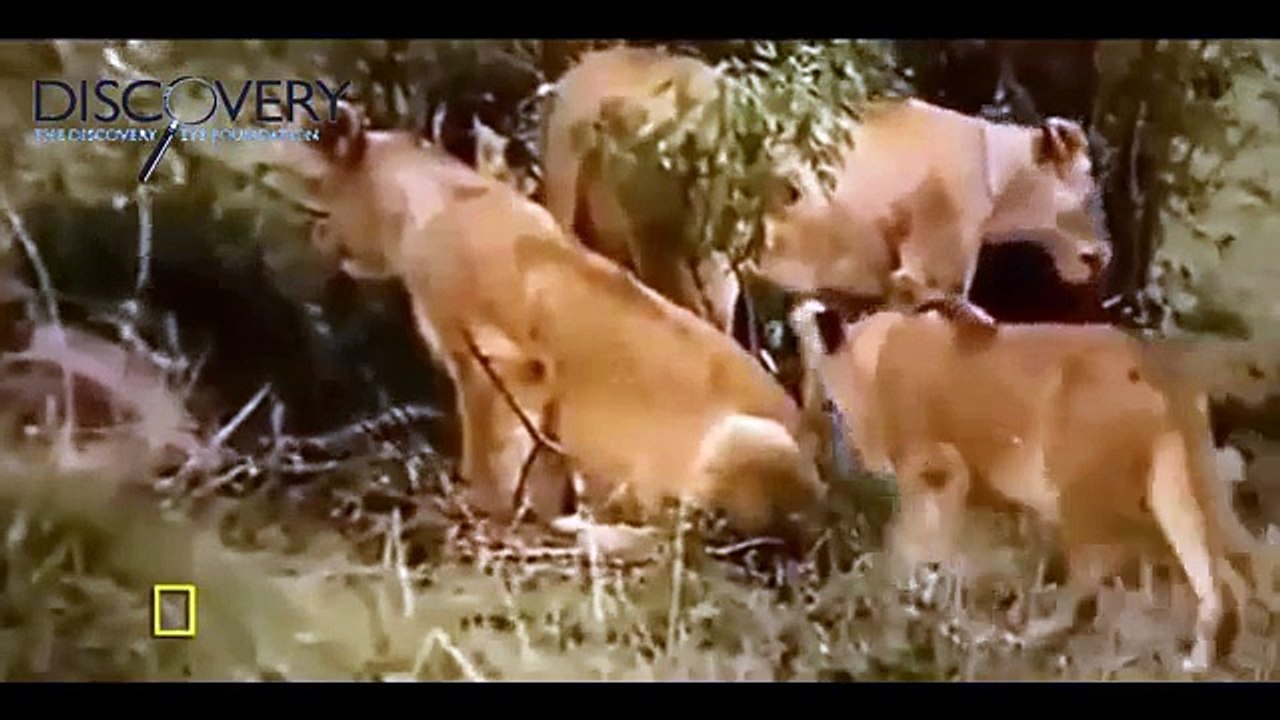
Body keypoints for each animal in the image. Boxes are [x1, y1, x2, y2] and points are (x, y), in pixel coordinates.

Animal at [273, 103, 825, 541]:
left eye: (315, 186)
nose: (317, 237)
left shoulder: (494, 361)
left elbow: (487, 456)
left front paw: (478, 513)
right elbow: (541, 463)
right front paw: (527, 516)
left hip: (748, 442)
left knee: (694, 539)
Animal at [788, 297, 1280, 673]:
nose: (811, 422)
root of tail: (1158, 369)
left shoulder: (938, 469)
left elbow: (913, 542)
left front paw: (903, 602)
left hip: (1083, 489)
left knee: (1099, 570)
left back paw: (1038, 633)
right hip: (1177, 488)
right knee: (1226, 570)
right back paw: (1213, 650)